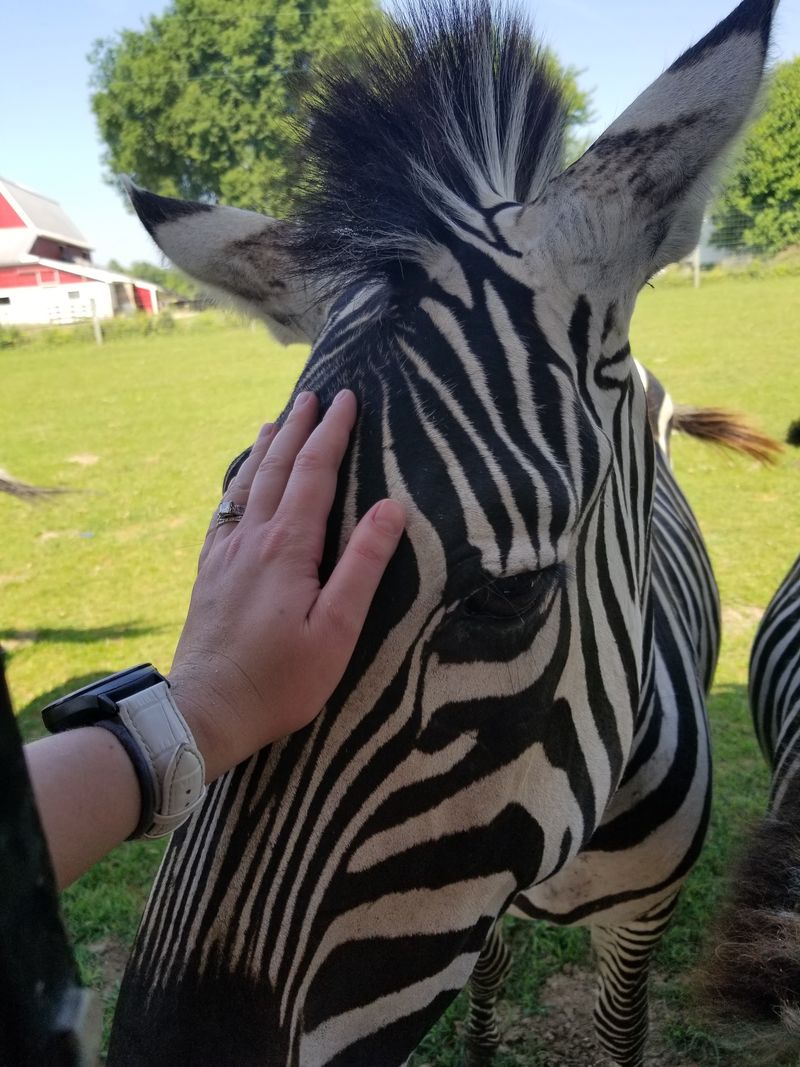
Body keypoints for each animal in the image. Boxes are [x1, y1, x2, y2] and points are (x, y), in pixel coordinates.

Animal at [108, 3, 778, 1064]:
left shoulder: (641, 921)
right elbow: (488, 981)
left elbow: (619, 1023)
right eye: (231, 519)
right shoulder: (473, 915)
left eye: (510, 596)